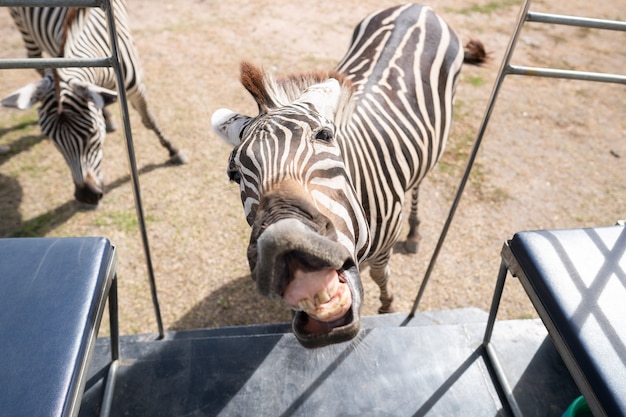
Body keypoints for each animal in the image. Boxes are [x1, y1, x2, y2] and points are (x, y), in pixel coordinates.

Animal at [0, 2, 185, 205]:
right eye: (53, 140)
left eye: (91, 134)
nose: (86, 196)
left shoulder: (136, 88)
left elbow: (148, 120)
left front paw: (172, 150)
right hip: (21, 24)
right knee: (35, 59)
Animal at [212, 3, 486, 348]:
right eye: (234, 174)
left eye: (326, 136)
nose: (283, 239)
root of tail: (417, 7)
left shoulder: (384, 247)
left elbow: (380, 275)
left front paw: (387, 307)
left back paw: (415, 232)